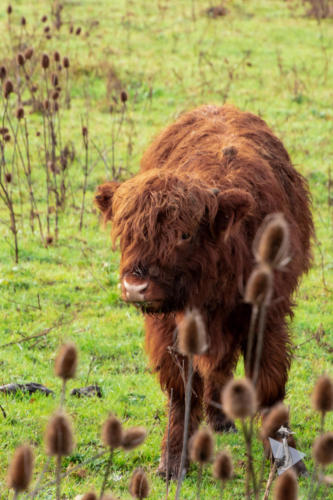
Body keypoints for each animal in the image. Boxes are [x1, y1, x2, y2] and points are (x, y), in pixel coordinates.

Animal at [94, 104, 312, 476]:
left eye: (184, 234)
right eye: (126, 233)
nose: (136, 286)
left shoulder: (266, 315)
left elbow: (269, 385)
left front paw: (286, 460)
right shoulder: (169, 325)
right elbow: (182, 391)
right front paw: (172, 461)